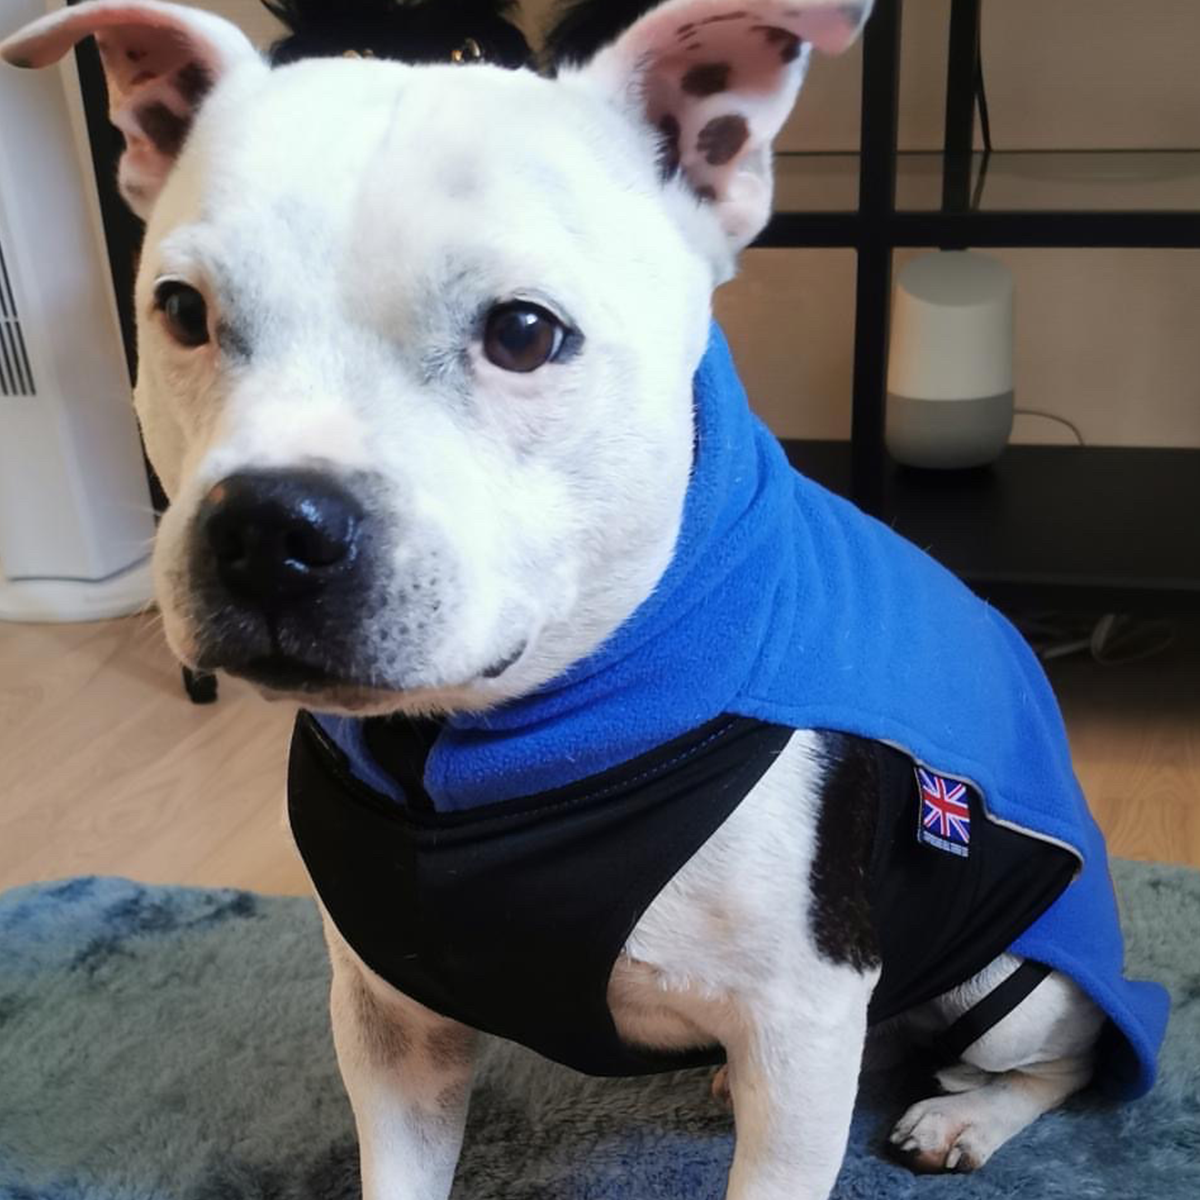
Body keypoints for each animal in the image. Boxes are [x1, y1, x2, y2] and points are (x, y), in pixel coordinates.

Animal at [2, 2, 1161, 1200]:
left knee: (1073, 1057)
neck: (468, 752)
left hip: (1007, 988)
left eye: (523, 332)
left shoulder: (802, 1024)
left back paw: (967, 1116)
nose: (272, 527)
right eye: (181, 310)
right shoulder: (389, 1023)